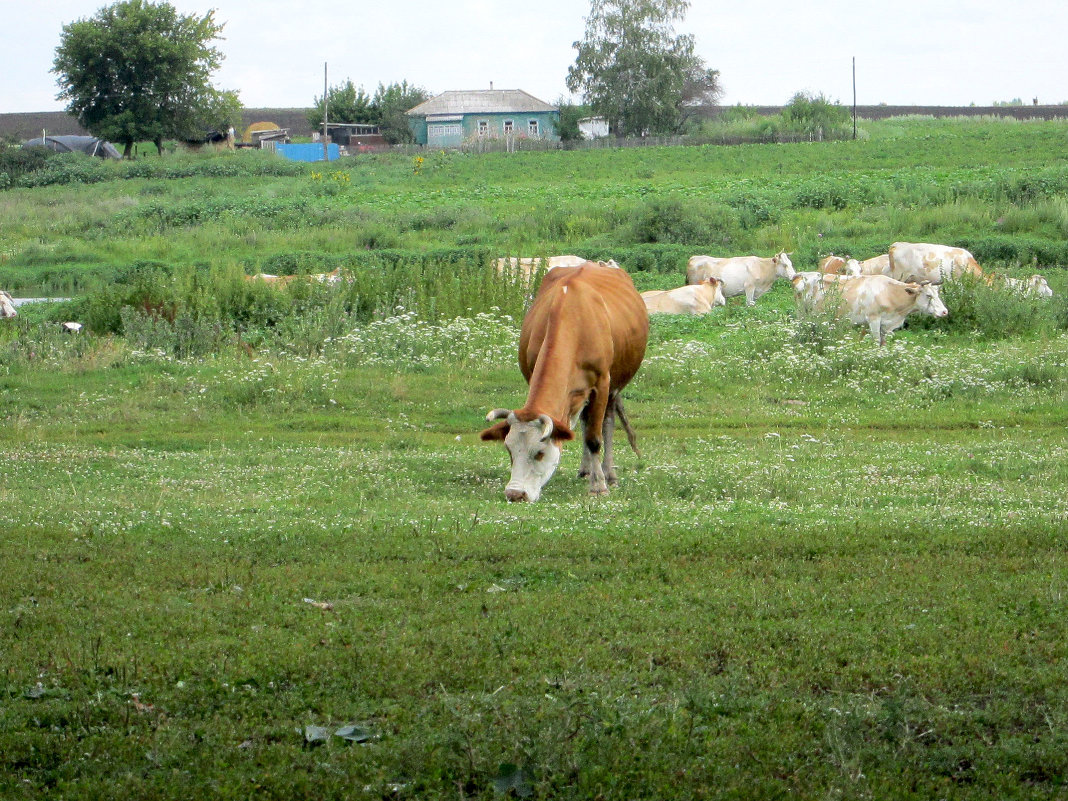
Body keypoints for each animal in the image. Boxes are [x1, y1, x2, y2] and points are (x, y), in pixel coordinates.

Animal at [480, 263, 645, 501]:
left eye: (539, 453)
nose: (515, 494)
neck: (573, 319)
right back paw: (586, 469)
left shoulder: (602, 384)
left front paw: (599, 486)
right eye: (509, 450)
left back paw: (608, 473)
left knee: (606, 423)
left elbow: (594, 437)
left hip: (614, 385)